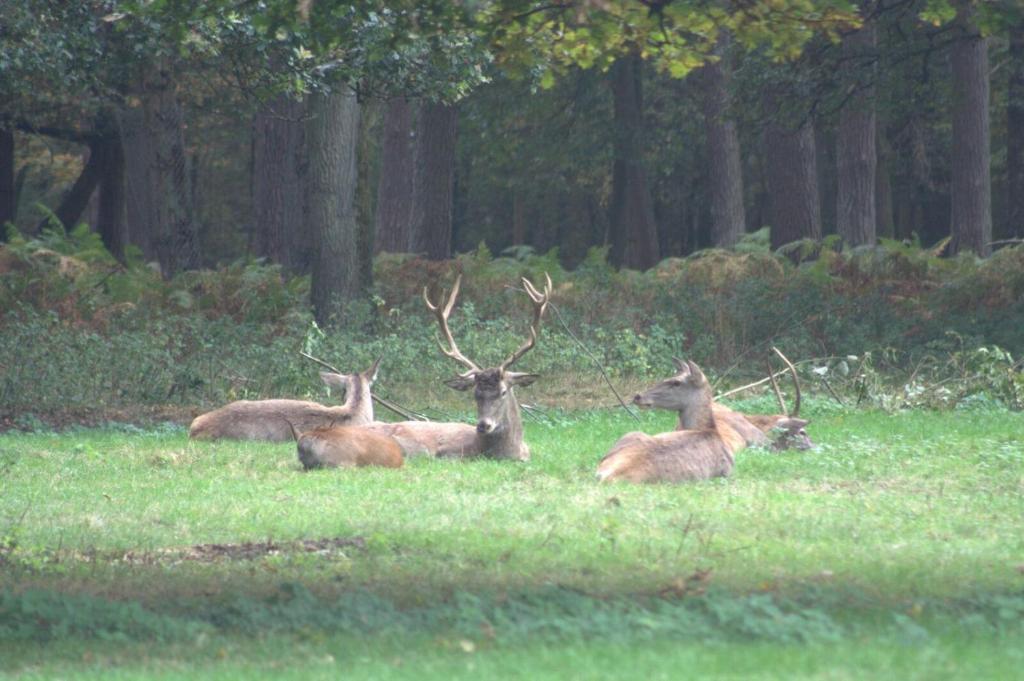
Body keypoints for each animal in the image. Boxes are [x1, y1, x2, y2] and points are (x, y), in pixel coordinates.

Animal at [598, 358, 741, 481]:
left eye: (676, 382)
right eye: (666, 378)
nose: (638, 396)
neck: (711, 429)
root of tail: (608, 475)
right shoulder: (728, 471)